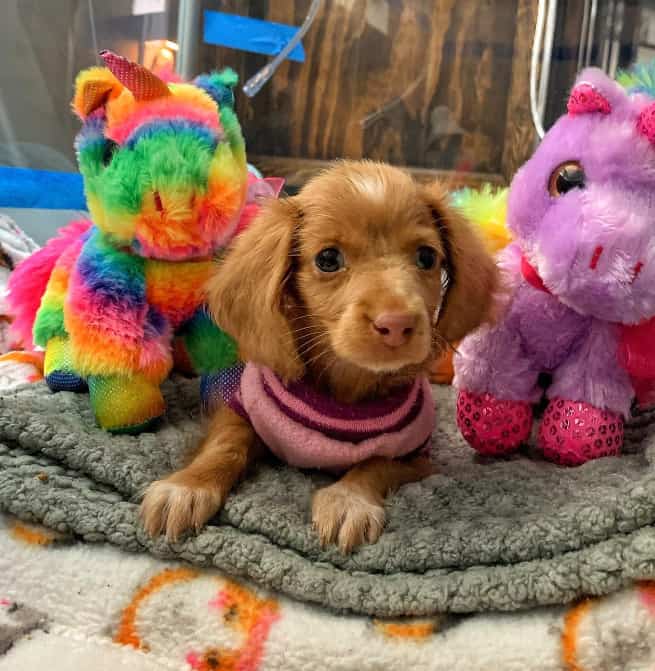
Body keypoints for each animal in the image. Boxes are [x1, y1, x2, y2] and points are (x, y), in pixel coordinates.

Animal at [140, 161, 498, 552]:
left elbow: (375, 463)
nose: (396, 323)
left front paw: (348, 500)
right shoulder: (241, 411)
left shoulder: (416, 457)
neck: (345, 389)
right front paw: (186, 486)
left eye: (427, 257)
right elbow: (226, 445)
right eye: (328, 259)